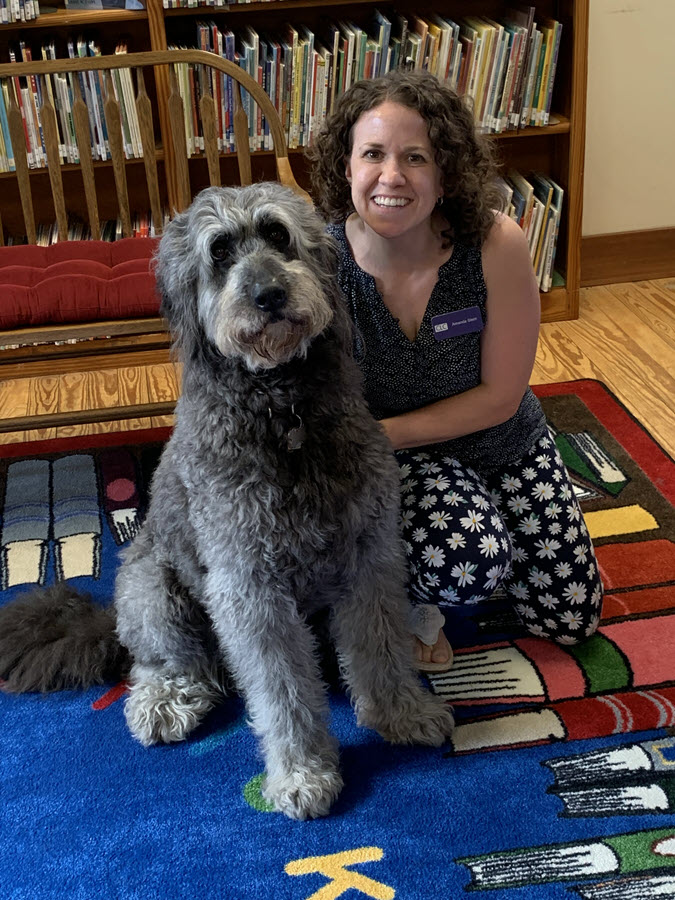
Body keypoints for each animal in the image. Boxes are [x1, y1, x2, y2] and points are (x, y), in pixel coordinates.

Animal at [0, 186, 456, 820]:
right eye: (218, 251)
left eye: (279, 234)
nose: (269, 295)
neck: (282, 409)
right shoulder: (249, 586)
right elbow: (281, 688)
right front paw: (301, 772)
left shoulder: (369, 555)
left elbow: (381, 645)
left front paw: (401, 713)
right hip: (152, 590)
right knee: (165, 663)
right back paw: (165, 700)